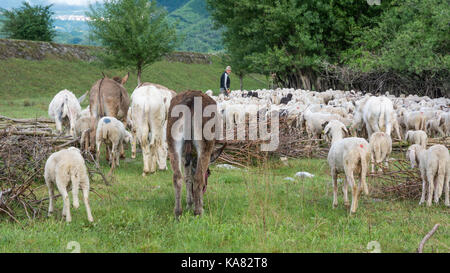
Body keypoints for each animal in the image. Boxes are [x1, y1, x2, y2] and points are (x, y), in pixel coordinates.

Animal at [167, 90, 225, 218]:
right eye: (209, 173)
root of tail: (191, 100)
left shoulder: (186, 156)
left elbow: (188, 178)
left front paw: (189, 204)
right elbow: (195, 177)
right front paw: (197, 204)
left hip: (172, 141)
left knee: (177, 177)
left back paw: (178, 212)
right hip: (205, 142)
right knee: (198, 177)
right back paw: (198, 212)